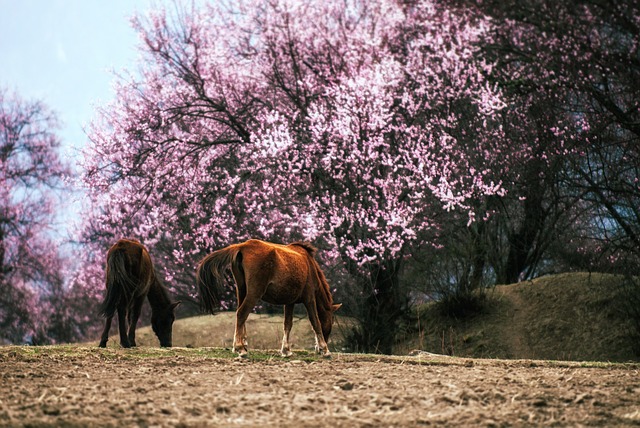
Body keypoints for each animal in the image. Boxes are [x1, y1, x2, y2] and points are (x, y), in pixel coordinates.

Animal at [198, 239, 342, 356]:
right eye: (331, 320)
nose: (321, 347)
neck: (309, 265)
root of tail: (242, 246)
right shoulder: (309, 299)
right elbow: (315, 322)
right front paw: (325, 349)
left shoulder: (290, 302)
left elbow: (288, 324)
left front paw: (286, 350)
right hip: (254, 293)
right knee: (242, 313)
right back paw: (240, 348)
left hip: (242, 290)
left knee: (241, 315)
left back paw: (241, 345)